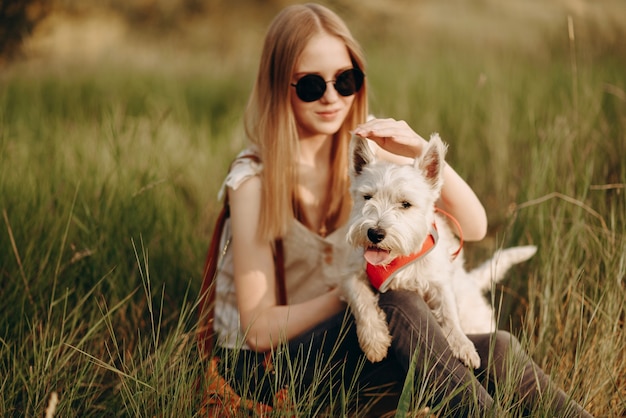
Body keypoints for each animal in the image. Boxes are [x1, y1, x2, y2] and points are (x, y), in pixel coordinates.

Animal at [344, 133, 532, 366]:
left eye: (405, 204)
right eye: (367, 197)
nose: (375, 234)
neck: (396, 259)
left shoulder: (439, 282)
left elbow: (449, 313)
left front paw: (463, 346)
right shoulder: (352, 274)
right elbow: (362, 301)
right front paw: (375, 340)